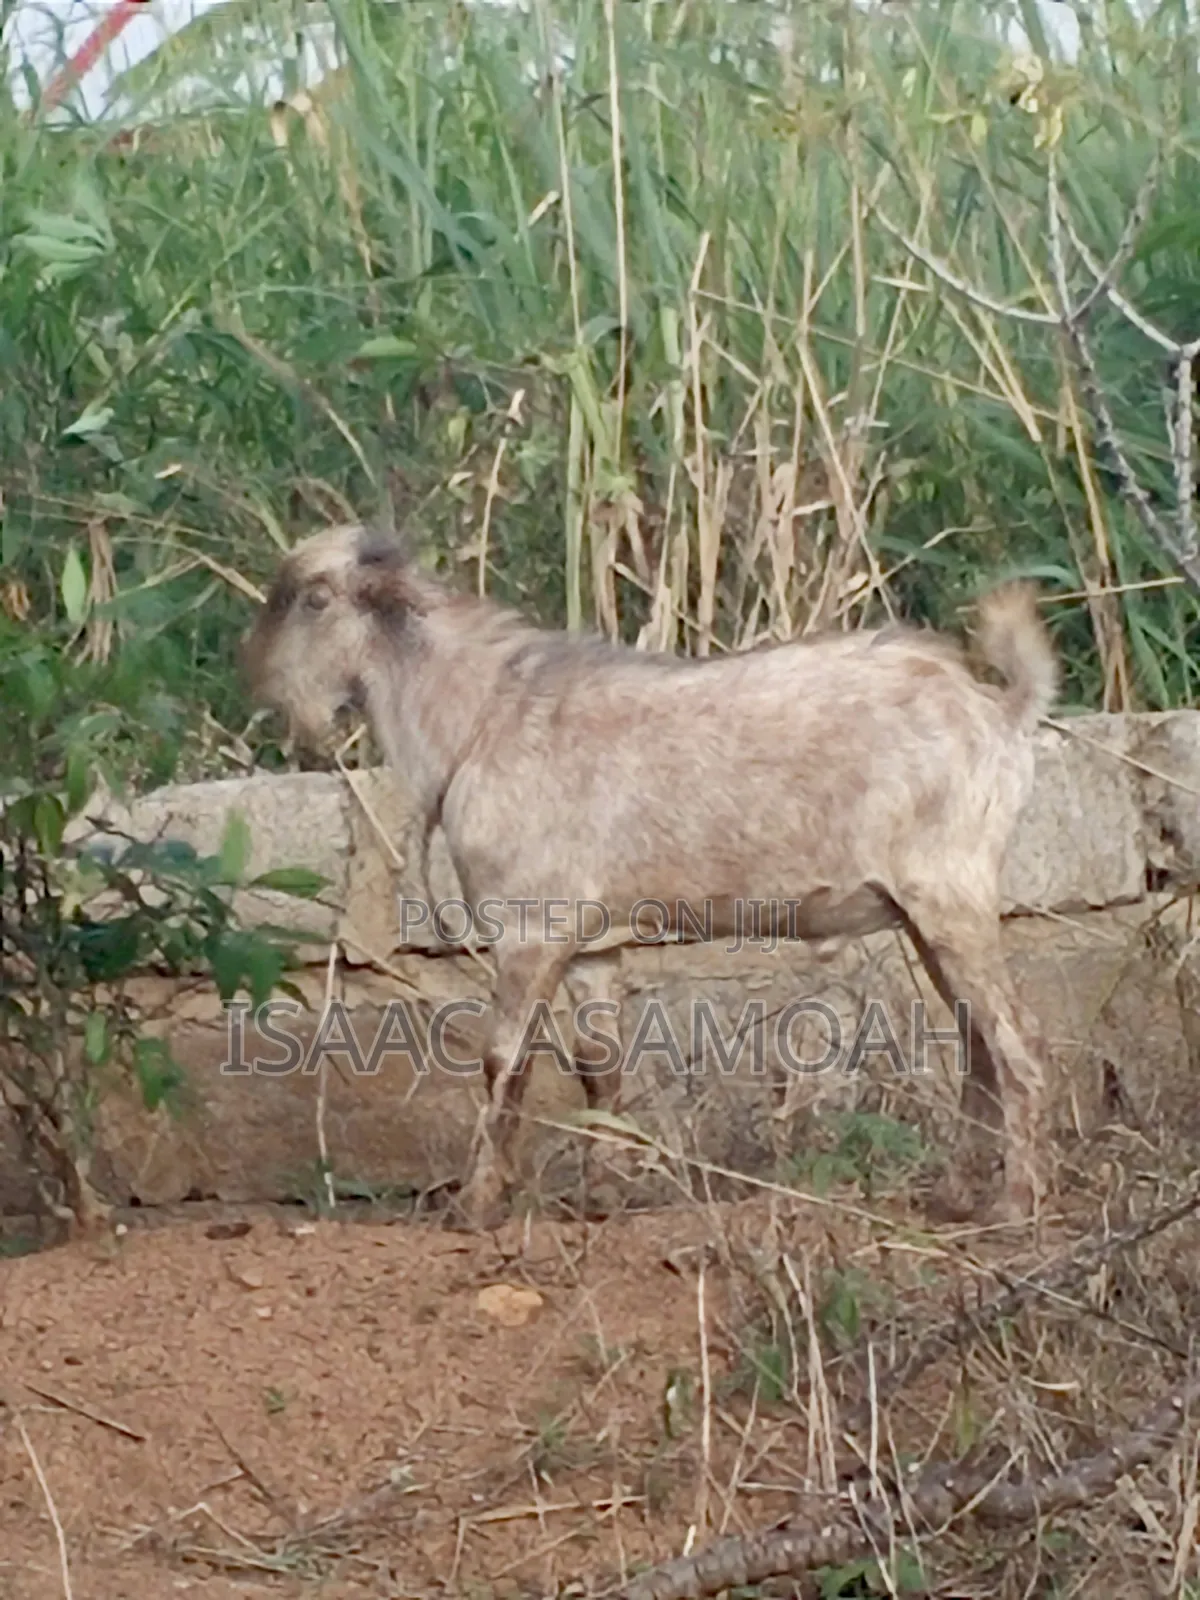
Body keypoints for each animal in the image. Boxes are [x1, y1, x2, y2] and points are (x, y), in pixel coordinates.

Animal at [242, 522, 1058, 1229]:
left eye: (313, 599)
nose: (258, 680)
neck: (478, 717)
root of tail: (1001, 711)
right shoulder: (591, 942)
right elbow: (599, 1065)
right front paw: (602, 1196)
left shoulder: (529, 928)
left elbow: (504, 1063)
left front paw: (474, 1206)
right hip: (926, 911)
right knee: (977, 1044)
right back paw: (955, 1195)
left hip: (949, 889)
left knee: (1015, 1043)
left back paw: (1015, 1205)